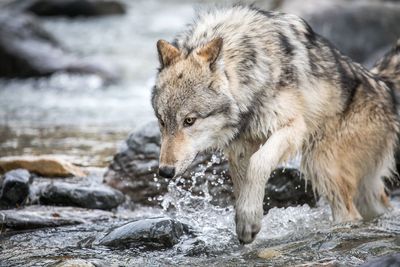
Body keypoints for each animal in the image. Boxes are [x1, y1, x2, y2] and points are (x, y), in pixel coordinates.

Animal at [151, 5, 400, 245]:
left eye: (189, 121)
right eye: (162, 121)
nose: (165, 171)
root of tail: (384, 84)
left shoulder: (293, 127)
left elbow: (259, 163)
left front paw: (249, 221)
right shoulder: (240, 149)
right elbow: (245, 184)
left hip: (320, 163)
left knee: (349, 214)